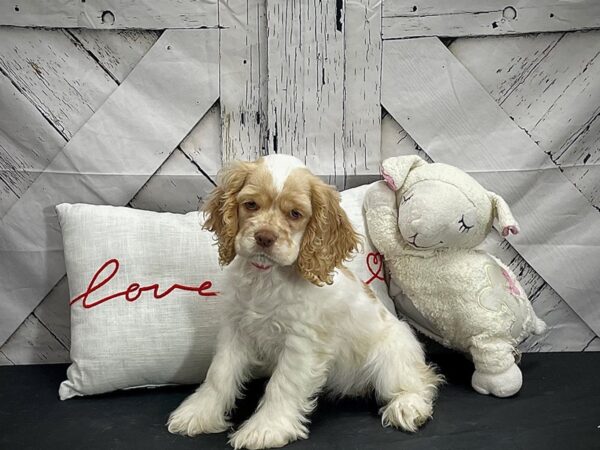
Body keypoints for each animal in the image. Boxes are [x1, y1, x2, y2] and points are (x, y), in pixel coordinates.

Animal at [166, 156, 438, 450]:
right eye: (251, 205)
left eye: (295, 214)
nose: (264, 237)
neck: (267, 277)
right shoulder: (236, 329)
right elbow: (219, 374)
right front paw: (198, 414)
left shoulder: (301, 343)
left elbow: (281, 384)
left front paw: (265, 428)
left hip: (392, 355)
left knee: (418, 380)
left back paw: (408, 406)